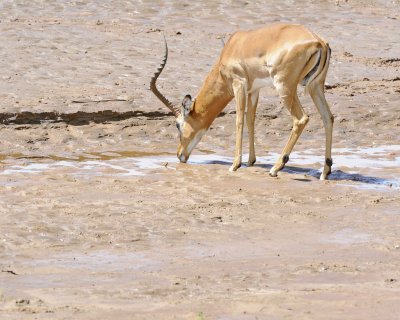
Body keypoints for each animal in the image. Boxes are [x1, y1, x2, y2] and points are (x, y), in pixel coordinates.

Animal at [150, 23, 334, 180]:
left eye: (177, 125)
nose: (180, 155)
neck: (233, 47)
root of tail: (319, 42)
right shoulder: (254, 90)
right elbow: (250, 119)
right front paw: (250, 161)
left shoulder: (238, 84)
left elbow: (239, 120)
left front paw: (235, 165)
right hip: (316, 87)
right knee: (328, 117)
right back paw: (325, 172)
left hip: (285, 88)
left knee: (301, 119)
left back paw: (276, 168)